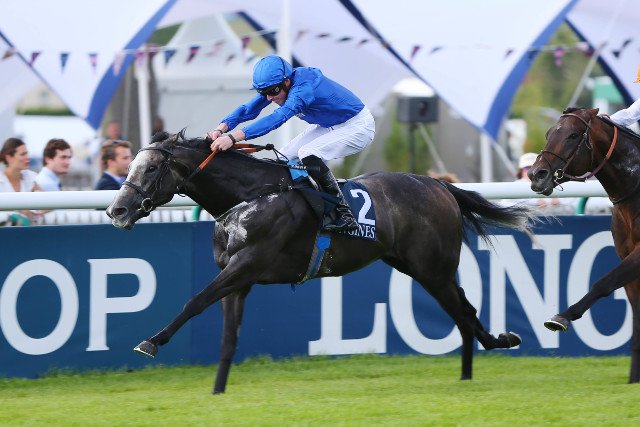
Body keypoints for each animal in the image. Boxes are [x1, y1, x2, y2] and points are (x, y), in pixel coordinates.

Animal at [106, 130, 532, 394]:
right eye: (130, 167)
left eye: (151, 168)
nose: (117, 210)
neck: (250, 194)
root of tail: (439, 185)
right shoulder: (237, 278)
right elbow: (228, 338)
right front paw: (217, 390)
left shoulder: (247, 264)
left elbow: (194, 301)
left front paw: (151, 342)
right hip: (415, 266)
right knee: (465, 311)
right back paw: (481, 359)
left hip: (433, 269)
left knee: (463, 312)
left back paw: (484, 354)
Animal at [529, 107, 640, 383]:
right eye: (549, 133)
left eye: (573, 135)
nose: (536, 175)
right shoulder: (626, 255)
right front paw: (634, 378)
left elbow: (604, 282)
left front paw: (562, 317)